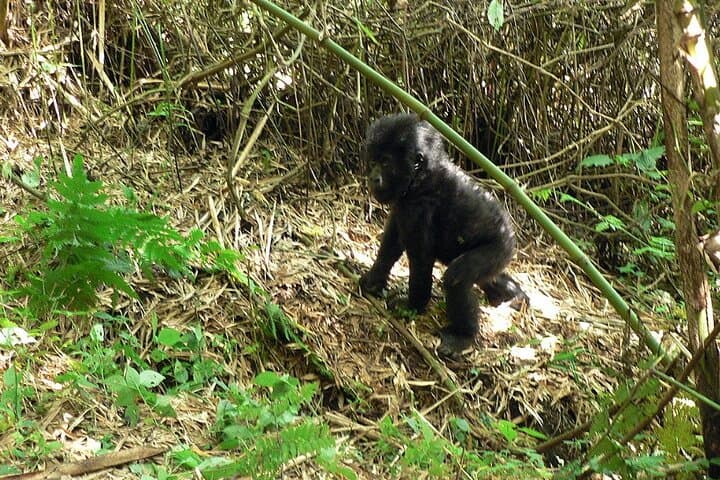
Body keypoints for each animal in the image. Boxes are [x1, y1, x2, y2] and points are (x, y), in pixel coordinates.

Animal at [359, 113, 528, 357]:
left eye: (386, 163)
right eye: (373, 162)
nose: (373, 178)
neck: (421, 176)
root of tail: (511, 234)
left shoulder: (418, 208)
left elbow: (421, 261)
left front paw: (414, 305)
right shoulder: (404, 204)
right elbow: (392, 243)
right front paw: (374, 280)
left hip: (499, 247)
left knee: (458, 277)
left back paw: (463, 336)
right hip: (501, 255)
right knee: (489, 277)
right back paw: (516, 296)